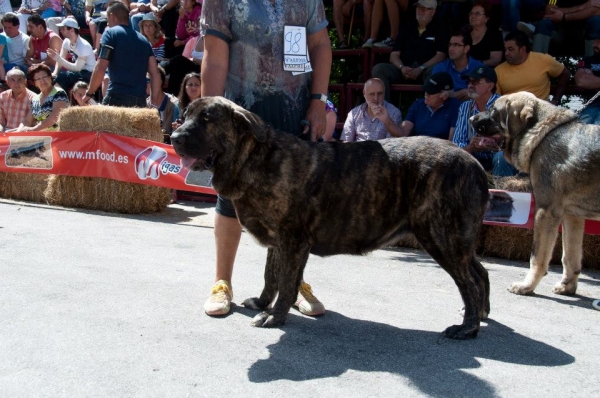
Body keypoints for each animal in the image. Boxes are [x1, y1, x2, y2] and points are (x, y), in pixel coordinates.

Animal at [171, 95, 490, 338]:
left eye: (207, 119)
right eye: (185, 116)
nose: (174, 137)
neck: (254, 159)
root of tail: (474, 163)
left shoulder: (293, 241)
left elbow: (286, 282)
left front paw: (274, 316)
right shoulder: (279, 242)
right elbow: (271, 276)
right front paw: (262, 303)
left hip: (441, 237)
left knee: (469, 283)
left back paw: (467, 328)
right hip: (456, 239)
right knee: (480, 272)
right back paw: (480, 314)